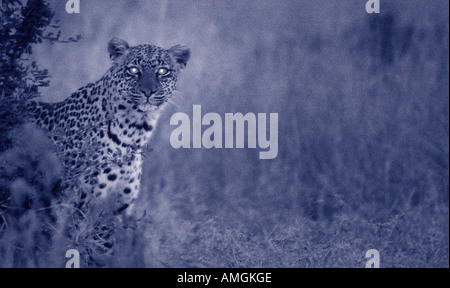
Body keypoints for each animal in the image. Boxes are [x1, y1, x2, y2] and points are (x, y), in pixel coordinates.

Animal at [25, 37, 192, 215]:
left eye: (162, 71)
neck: (135, 131)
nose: (148, 91)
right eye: (133, 70)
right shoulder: (74, 202)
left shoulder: (120, 208)